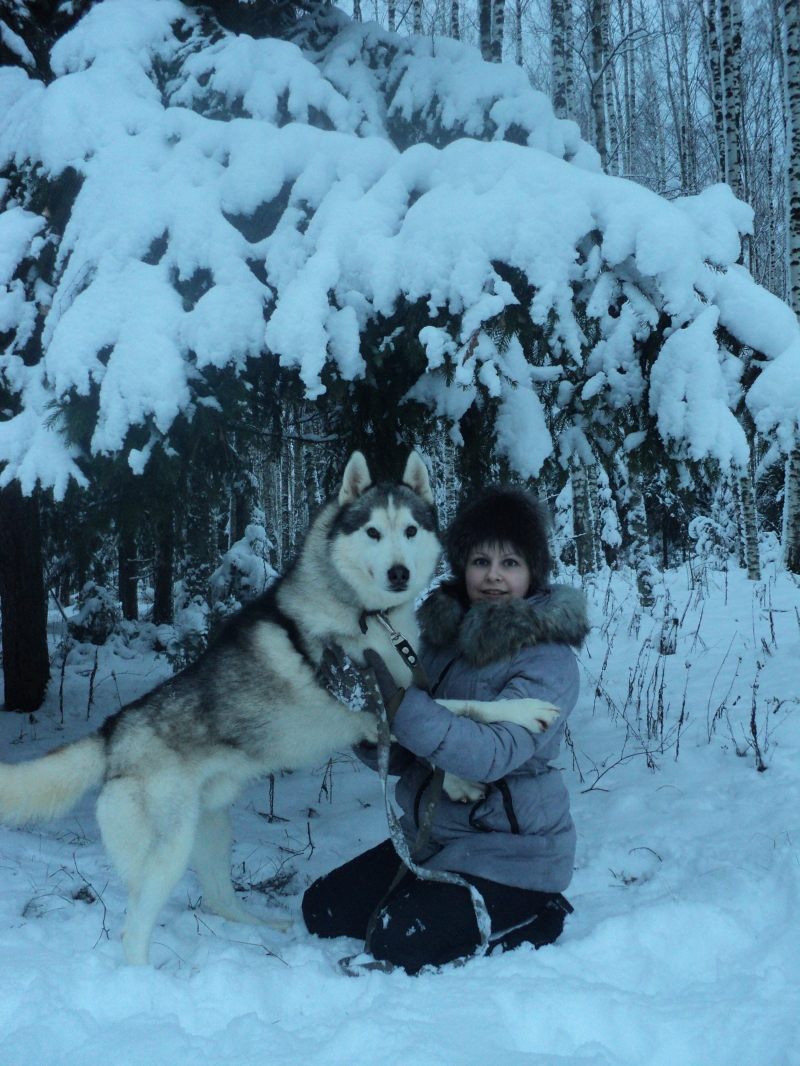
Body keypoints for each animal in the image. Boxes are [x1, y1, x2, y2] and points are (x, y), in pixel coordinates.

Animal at [0, 449, 558, 967]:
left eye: (411, 530)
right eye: (373, 532)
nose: (399, 572)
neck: (368, 613)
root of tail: (113, 730)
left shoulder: (389, 710)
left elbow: (435, 738)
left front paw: (459, 783)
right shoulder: (379, 704)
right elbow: (464, 708)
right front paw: (529, 709)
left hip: (210, 829)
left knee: (221, 900)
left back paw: (266, 926)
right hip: (167, 851)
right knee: (132, 931)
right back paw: (146, 983)